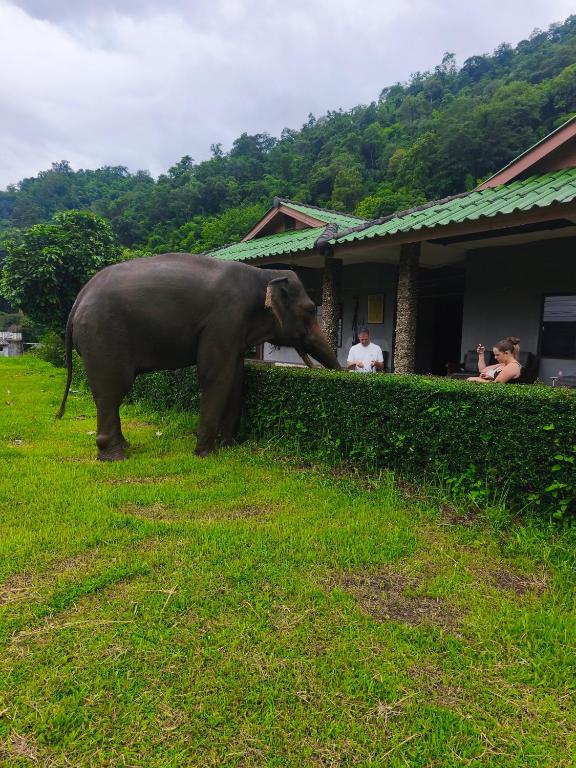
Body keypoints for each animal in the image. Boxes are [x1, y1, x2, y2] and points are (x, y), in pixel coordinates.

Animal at [56, 252, 340, 460]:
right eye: (310, 311)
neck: (264, 274)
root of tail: (78, 300)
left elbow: (236, 377)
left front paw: (229, 446)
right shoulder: (223, 320)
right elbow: (215, 375)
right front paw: (206, 454)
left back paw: (124, 447)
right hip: (102, 335)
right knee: (112, 391)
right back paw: (115, 457)